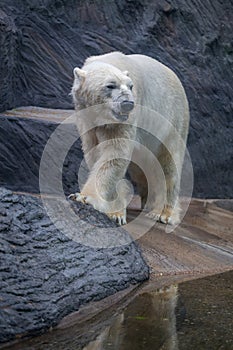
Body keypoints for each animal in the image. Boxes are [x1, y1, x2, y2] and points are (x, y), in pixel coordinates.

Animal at [69, 52, 189, 227]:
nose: (128, 103)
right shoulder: (87, 119)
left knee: (168, 164)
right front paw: (116, 211)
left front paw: (84, 197)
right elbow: (95, 153)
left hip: (173, 120)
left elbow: (114, 154)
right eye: (110, 86)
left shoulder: (125, 120)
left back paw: (163, 213)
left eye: (130, 86)